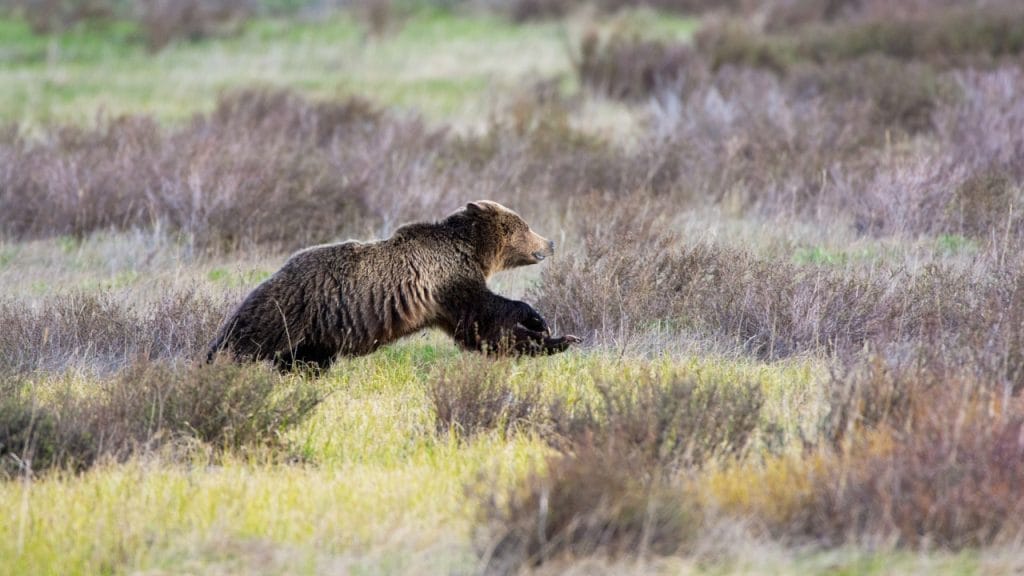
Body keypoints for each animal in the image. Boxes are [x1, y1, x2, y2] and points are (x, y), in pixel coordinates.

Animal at [206, 200, 579, 370]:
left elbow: (482, 333)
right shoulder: (447, 280)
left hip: (315, 335)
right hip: (289, 309)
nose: (550, 243)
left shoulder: (441, 302)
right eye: (525, 226)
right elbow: (485, 315)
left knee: (304, 361)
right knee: (245, 341)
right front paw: (542, 324)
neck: (471, 250)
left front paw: (558, 338)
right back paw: (215, 361)